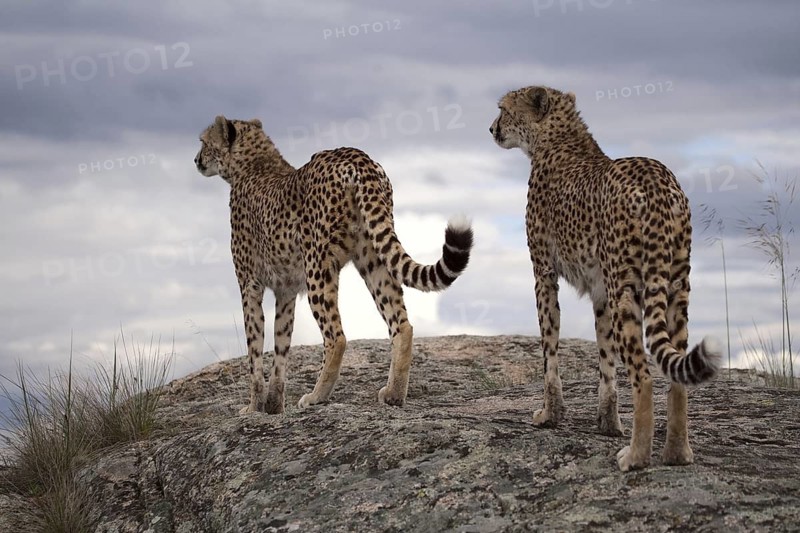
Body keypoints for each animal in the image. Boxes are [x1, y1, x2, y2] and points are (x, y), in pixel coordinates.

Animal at [194, 115, 473, 415]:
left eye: (203, 142)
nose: (196, 159)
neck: (254, 164)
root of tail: (356, 156)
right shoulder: (286, 291)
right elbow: (281, 345)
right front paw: (274, 405)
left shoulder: (250, 286)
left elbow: (254, 349)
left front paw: (254, 407)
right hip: (373, 258)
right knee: (402, 325)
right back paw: (394, 394)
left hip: (318, 266)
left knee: (336, 337)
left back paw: (317, 396)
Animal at [490, 86, 721, 471]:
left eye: (504, 110)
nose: (492, 129)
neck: (557, 139)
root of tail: (658, 179)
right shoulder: (600, 292)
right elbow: (605, 358)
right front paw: (608, 422)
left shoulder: (544, 274)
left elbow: (549, 349)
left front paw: (550, 414)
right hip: (674, 286)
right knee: (676, 372)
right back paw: (676, 453)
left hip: (625, 288)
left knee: (643, 374)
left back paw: (636, 456)